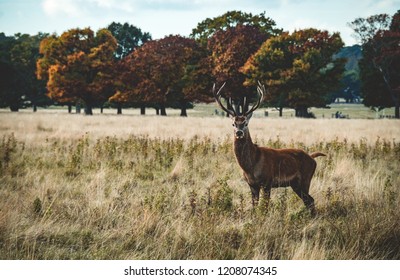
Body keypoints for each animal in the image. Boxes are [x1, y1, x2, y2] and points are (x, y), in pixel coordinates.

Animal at [214, 82, 326, 215]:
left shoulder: (267, 181)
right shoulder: (252, 185)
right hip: (295, 184)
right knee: (308, 200)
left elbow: (265, 207)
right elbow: (254, 206)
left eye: (246, 123)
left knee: (310, 200)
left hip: (306, 179)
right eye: (233, 124)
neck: (251, 166)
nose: (239, 133)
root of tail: (312, 158)